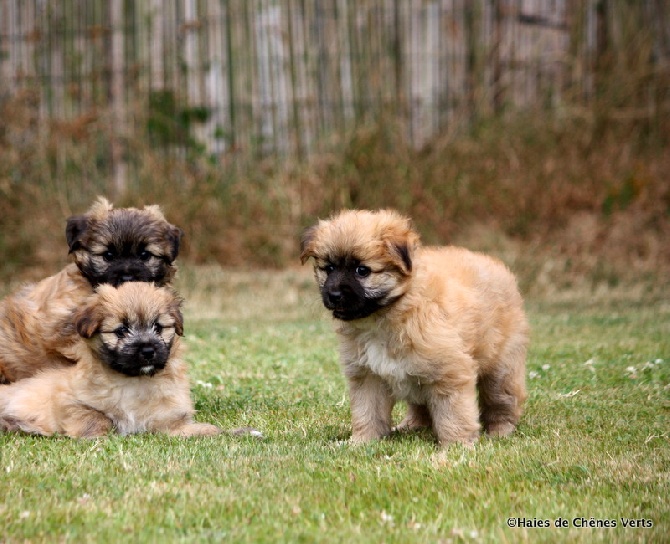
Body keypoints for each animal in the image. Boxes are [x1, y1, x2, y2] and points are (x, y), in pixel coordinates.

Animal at [0, 282, 222, 440]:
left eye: (158, 327)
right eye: (121, 330)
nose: (148, 350)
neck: (134, 381)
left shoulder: (169, 418)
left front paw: (207, 430)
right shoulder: (69, 401)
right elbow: (99, 417)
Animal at [304, 208, 532, 446]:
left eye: (362, 270)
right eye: (329, 268)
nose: (334, 295)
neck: (388, 315)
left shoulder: (450, 373)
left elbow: (455, 415)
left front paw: (456, 446)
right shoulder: (367, 377)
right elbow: (368, 413)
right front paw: (362, 442)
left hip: (502, 369)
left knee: (502, 401)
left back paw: (500, 431)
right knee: (421, 407)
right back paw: (411, 426)